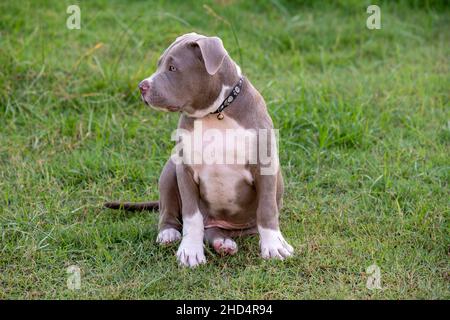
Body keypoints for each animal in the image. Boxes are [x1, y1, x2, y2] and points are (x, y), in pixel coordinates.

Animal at [105, 32, 296, 268]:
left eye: (173, 68)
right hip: (170, 168)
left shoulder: (265, 165)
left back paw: (224, 243)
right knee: (171, 212)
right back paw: (170, 233)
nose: (142, 86)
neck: (215, 113)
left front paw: (274, 246)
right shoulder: (185, 169)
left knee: (216, 230)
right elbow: (191, 217)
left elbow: (267, 209)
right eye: (159, 64)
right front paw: (190, 252)